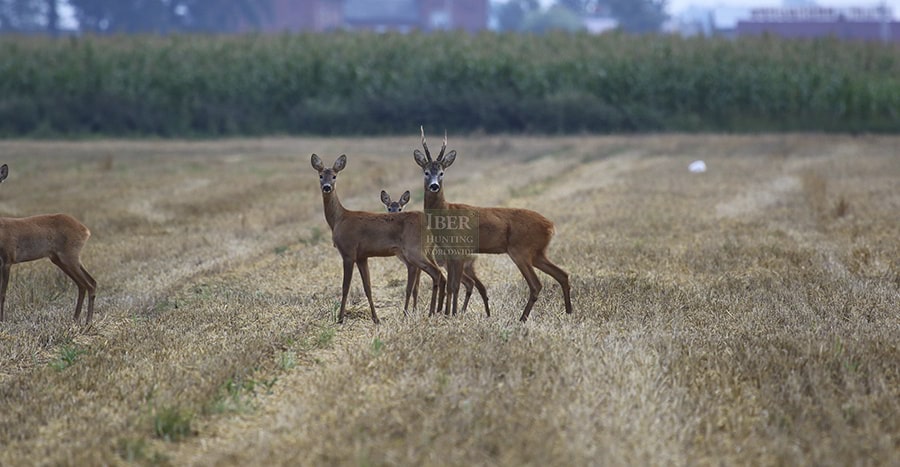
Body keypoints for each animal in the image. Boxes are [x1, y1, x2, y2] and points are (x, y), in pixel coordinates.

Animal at [0, 165, 98, 326]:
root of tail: (86, 230)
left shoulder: (8, 259)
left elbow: (2, 292)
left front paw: (2, 322)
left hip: (69, 256)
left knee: (89, 283)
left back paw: (87, 322)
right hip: (59, 259)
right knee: (85, 283)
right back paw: (75, 319)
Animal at [312, 155, 446, 324]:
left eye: (334, 176)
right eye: (320, 175)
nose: (327, 187)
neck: (339, 219)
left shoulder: (348, 252)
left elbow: (345, 287)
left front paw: (340, 318)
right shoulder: (362, 256)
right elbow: (367, 287)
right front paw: (376, 318)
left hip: (414, 250)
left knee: (437, 273)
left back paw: (431, 313)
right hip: (426, 251)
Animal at [382, 190, 492, 318]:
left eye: (400, 208)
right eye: (389, 208)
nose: (393, 216)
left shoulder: (414, 264)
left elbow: (414, 288)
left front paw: (410, 312)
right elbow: (416, 287)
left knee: (465, 283)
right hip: (466, 267)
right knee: (476, 285)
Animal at [414, 130, 572, 324]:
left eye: (442, 173)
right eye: (426, 172)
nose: (434, 186)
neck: (445, 213)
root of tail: (550, 225)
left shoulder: (459, 249)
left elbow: (455, 285)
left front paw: (453, 315)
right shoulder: (449, 253)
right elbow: (451, 285)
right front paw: (446, 315)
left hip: (520, 250)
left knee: (536, 284)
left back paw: (522, 319)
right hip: (537, 253)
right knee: (562, 274)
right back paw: (569, 313)